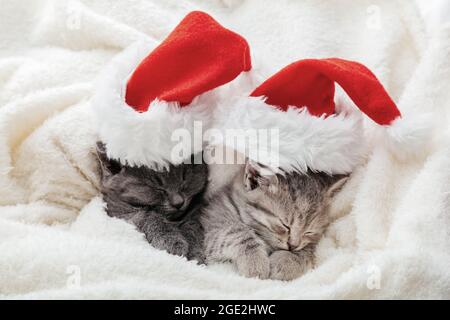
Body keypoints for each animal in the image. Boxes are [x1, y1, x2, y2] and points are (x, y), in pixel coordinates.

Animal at [201, 162, 348, 280]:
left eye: (309, 231)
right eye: (285, 225)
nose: (293, 245)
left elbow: (308, 248)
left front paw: (287, 261)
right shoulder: (212, 226)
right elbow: (238, 233)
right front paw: (255, 263)